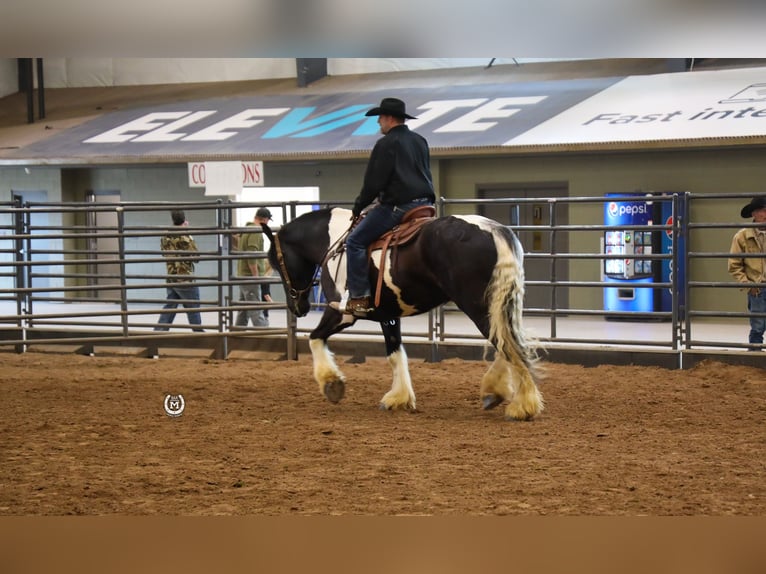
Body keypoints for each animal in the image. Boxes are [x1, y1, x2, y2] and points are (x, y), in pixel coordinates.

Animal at [264, 207, 544, 424]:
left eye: (277, 261)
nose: (297, 307)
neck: (337, 242)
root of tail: (494, 230)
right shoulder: (388, 315)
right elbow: (395, 353)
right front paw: (398, 397)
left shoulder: (342, 314)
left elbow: (314, 338)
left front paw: (331, 383)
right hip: (498, 304)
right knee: (506, 342)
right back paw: (495, 393)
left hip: (478, 305)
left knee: (507, 345)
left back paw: (522, 406)